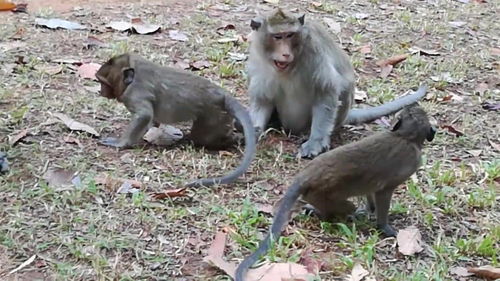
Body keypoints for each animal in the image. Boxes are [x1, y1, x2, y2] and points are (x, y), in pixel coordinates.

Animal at [95, 53, 256, 187]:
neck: (134, 72)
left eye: (104, 83)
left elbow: (144, 115)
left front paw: (120, 143)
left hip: (214, 114)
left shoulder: (134, 93)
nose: (101, 91)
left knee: (203, 138)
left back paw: (233, 140)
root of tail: (222, 94)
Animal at [236, 103, 436, 280]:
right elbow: (383, 193)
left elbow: (372, 188)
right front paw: (384, 226)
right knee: (344, 208)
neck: (405, 136)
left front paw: (370, 210)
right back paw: (327, 214)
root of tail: (307, 174)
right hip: (322, 194)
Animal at [248, 8, 428, 158]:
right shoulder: (257, 58)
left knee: (343, 89)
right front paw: (253, 132)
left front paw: (316, 142)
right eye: (278, 37)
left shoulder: (314, 51)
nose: (285, 53)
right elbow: (263, 99)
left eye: (290, 35)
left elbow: (326, 92)